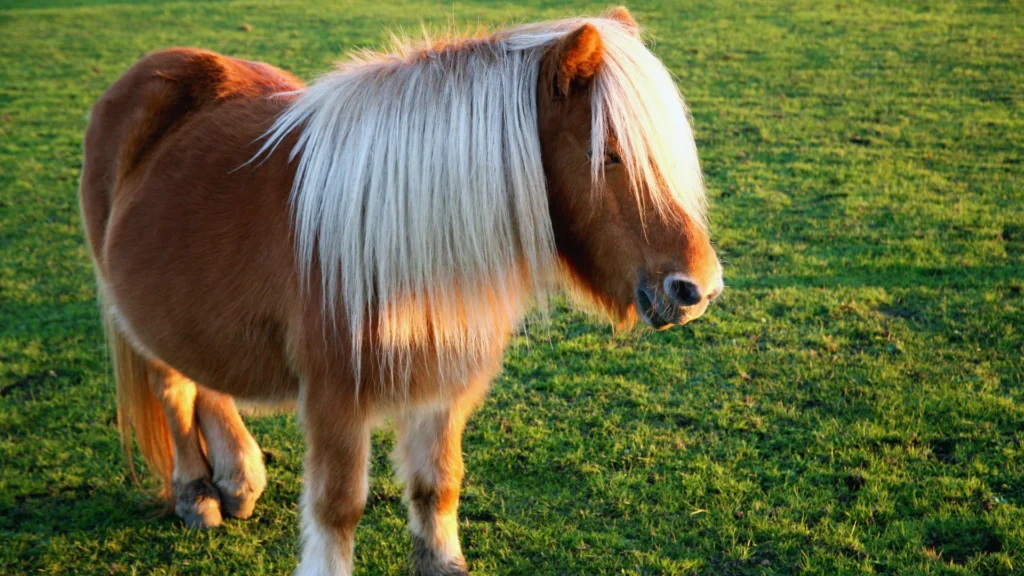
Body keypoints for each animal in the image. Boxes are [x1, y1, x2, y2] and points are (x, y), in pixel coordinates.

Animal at [79, 6, 723, 574]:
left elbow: (438, 485)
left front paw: (444, 561)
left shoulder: (445, 383)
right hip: (138, 315)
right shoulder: (335, 398)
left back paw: (239, 477)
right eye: (609, 155)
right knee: (172, 385)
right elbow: (338, 510)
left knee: (204, 378)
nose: (700, 288)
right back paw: (197, 492)